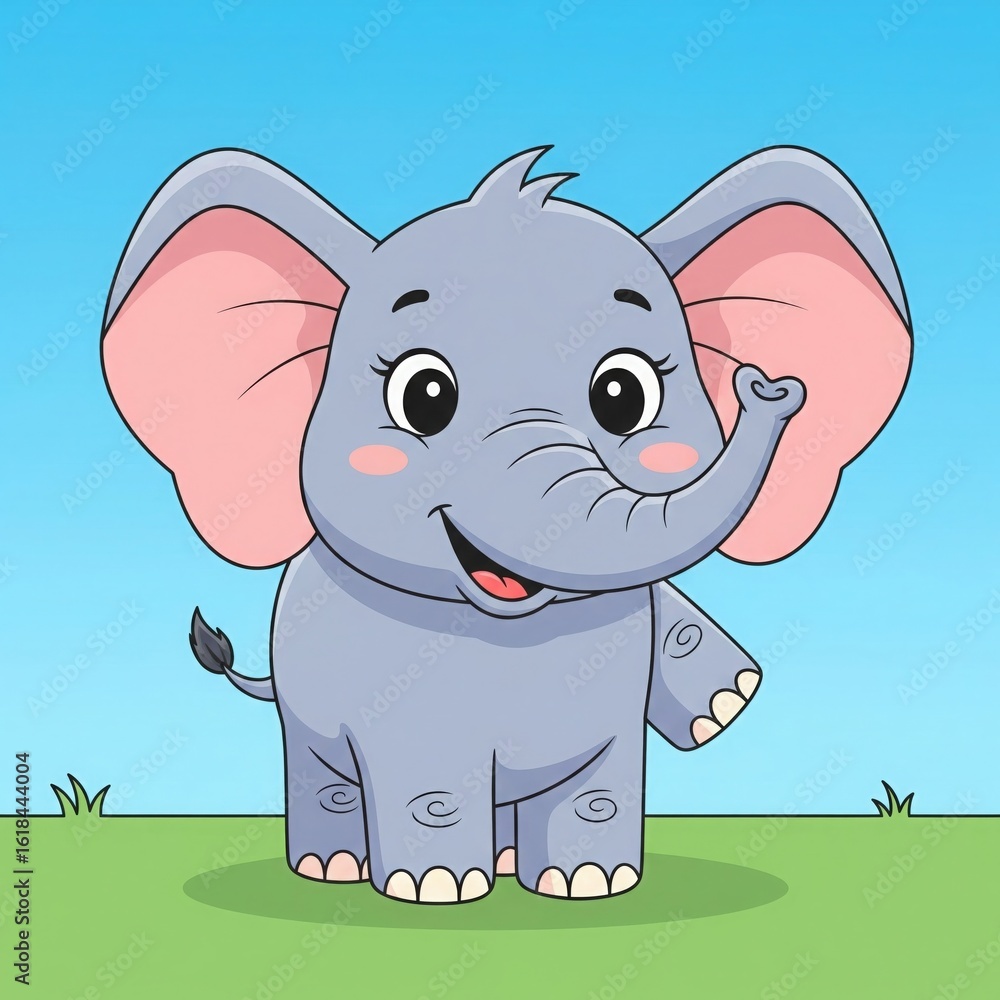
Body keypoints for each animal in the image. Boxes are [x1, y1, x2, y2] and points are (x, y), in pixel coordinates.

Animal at [101, 145, 911, 903]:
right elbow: (426, 781)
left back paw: (510, 863)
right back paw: (336, 869)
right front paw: (435, 890)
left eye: (625, 394)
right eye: (424, 395)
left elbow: (601, 780)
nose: (769, 388)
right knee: (322, 774)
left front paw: (591, 882)